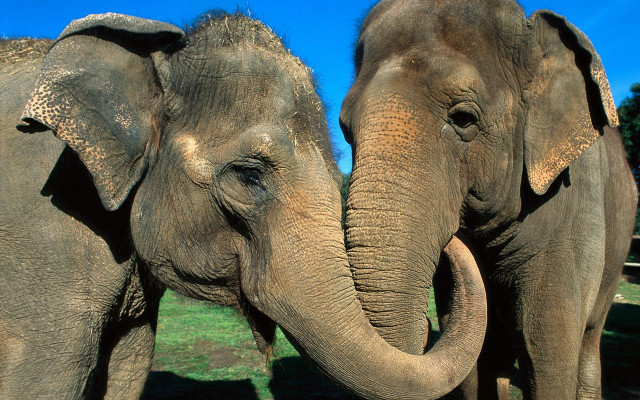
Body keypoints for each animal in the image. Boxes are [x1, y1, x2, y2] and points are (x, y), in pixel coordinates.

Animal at [339, 0, 637, 399]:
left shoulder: (575, 205)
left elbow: (548, 348)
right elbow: (473, 361)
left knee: (587, 340)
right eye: (345, 130)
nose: (452, 239)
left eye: (464, 119)